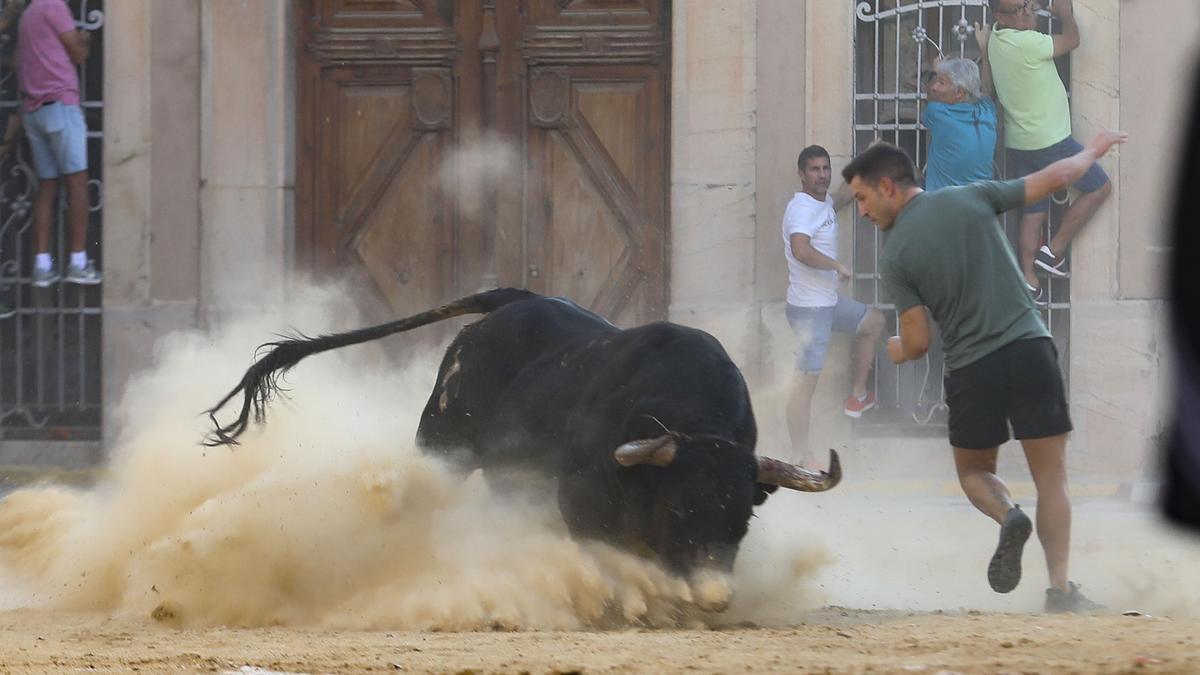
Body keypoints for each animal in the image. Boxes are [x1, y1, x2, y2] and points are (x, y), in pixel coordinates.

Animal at [206, 285, 840, 607]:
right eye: (680, 506)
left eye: (741, 521)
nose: (714, 597)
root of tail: (510, 303)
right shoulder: (582, 503)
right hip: (442, 441)